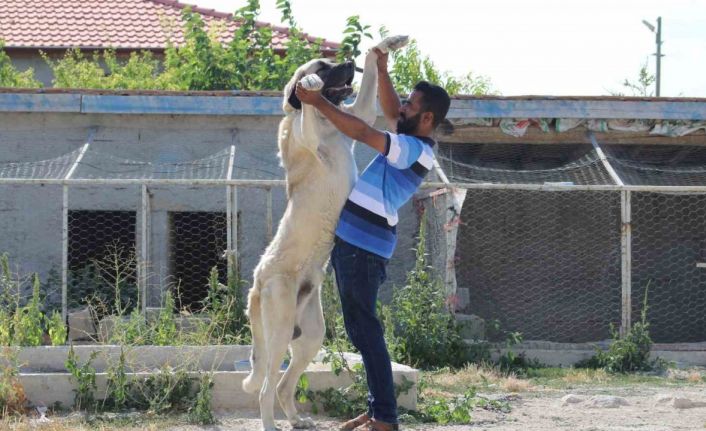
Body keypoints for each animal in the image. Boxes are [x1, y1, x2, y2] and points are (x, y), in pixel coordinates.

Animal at [241, 35, 408, 430]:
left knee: (284, 385)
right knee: (266, 387)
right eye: (321, 66)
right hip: (279, 330)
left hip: (310, 336)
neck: (327, 122)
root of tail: (258, 280)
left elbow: (368, 85)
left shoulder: (360, 116)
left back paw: (297, 420)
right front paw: (310, 87)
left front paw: (385, 46)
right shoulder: (309, 134)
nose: (346, 62)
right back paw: (270, 424)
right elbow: (305, 116)